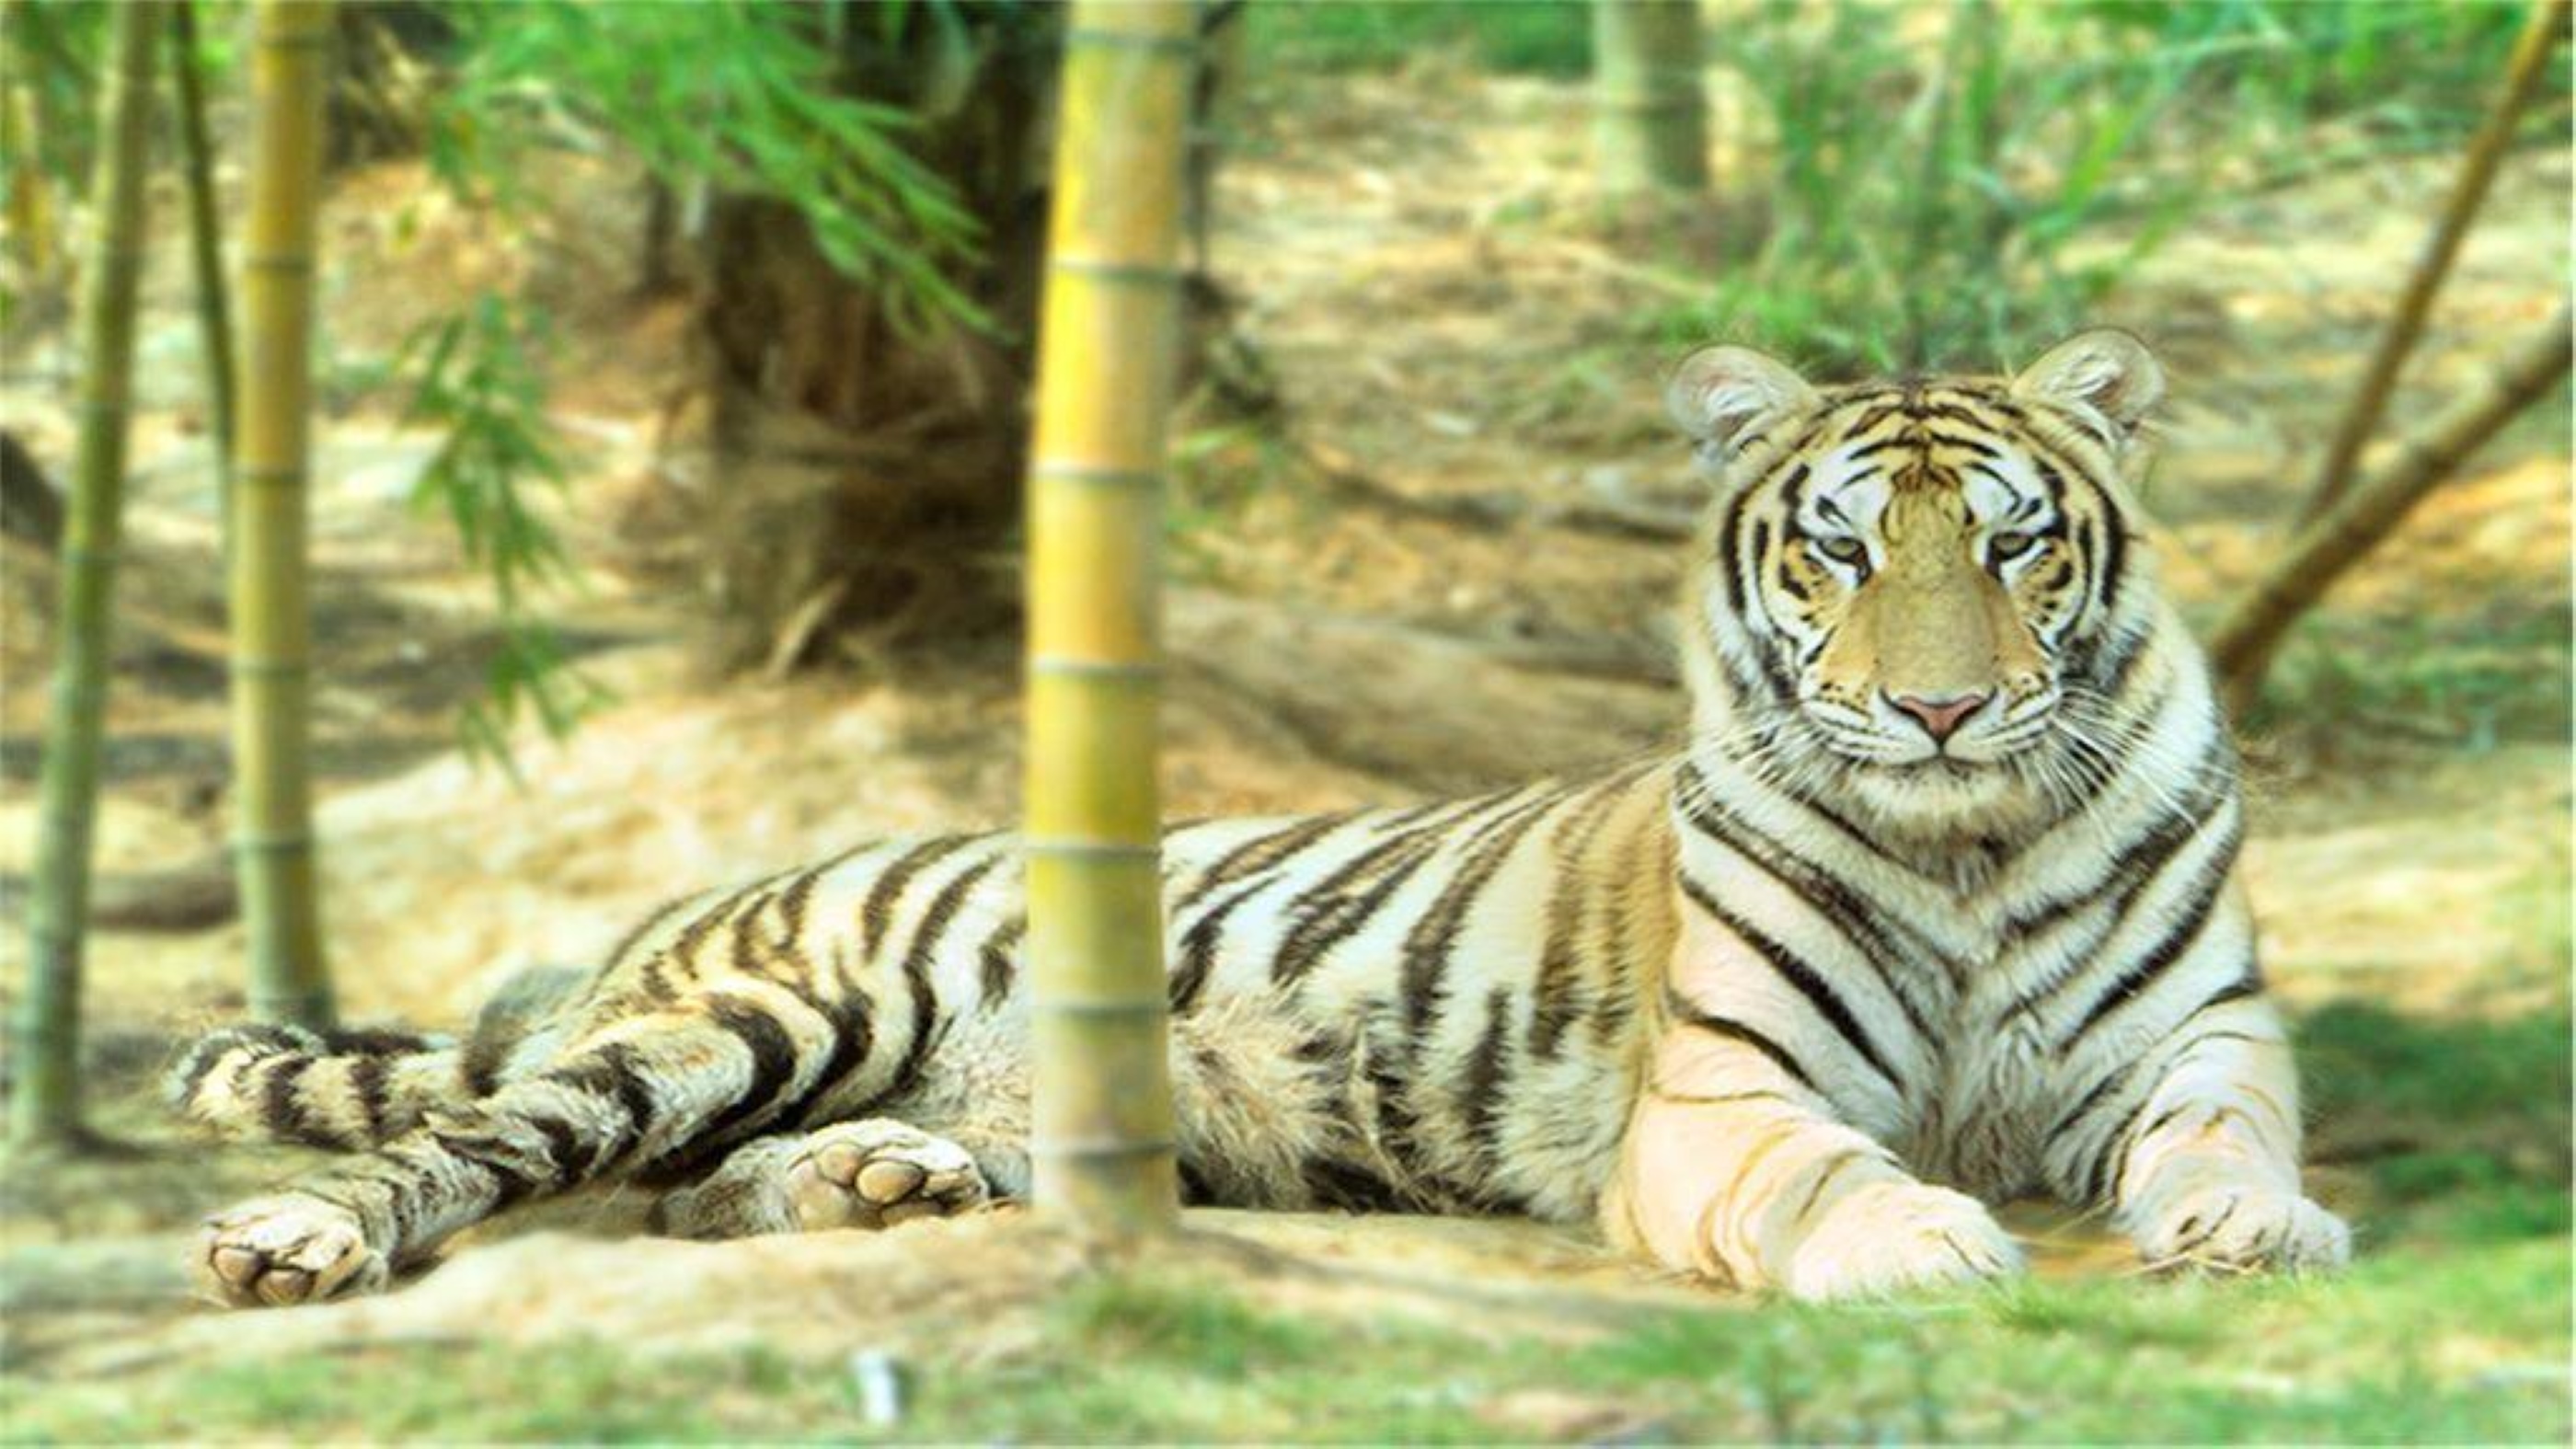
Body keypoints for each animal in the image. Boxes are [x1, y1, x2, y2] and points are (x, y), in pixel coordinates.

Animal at [170, 330, 2349, 1309]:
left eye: (2012, 546)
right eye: (1836, 555)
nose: (1940, 703)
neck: (1969, 835)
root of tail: (679, 906)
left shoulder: (2196, 1039)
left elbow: (2226, 1125)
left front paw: (2252, 1218)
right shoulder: (1724, 1095)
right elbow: (1823, 1171)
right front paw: (1920, 1243)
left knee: (693, 1191)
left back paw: (881, 1189)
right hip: (774, 1009)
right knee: (492, 1145)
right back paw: (294, 1238)